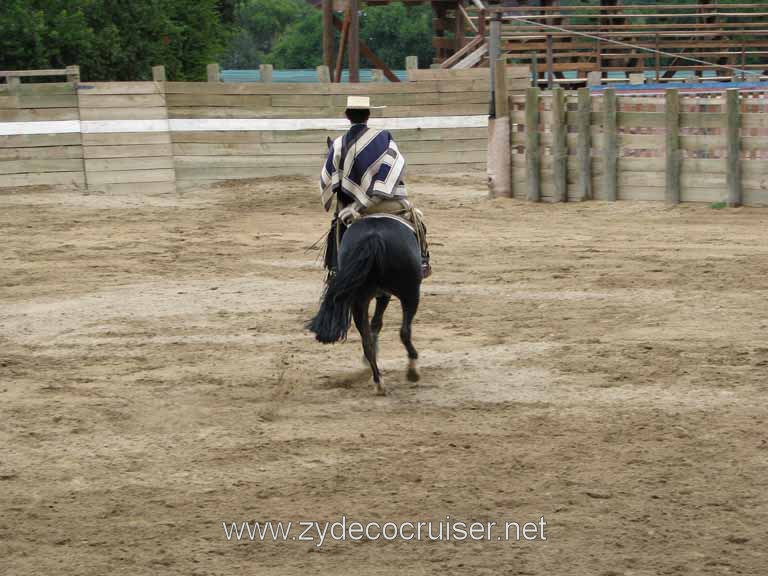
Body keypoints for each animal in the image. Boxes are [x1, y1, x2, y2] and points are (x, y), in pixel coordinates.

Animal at [306, 214, 424, 398]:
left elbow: (375, 323)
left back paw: (379, 382)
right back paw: (412, 371)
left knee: (366, 341)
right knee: (404, 331)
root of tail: (373, 236)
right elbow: (381, 323)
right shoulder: (386, 293)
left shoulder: (381, 294)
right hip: (410, 292)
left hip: (358, 301)